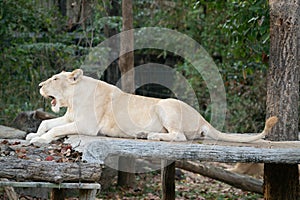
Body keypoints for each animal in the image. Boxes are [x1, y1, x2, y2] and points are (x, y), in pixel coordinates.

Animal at [27, 69, 278, 144]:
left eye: (55, 79)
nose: (39, 85)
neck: (74, 99)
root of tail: (201, 118)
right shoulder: (70, 118)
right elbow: (47, 123)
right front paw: (33, 135)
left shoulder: (87, 125)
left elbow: (55, 129)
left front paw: (41, 140)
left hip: (164, 106)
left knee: (179, 137)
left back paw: (151, 136)